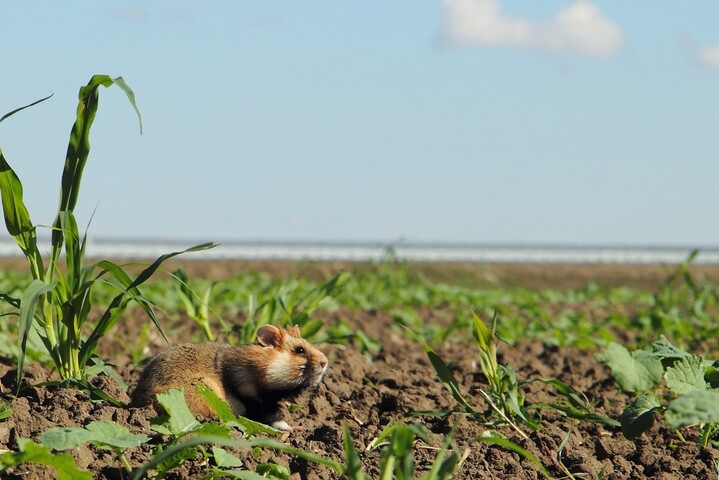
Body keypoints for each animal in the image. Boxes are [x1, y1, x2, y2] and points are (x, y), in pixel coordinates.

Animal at [129, 324, 328, 431]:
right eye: (299, 350)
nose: (326, 362)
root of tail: (135, 403)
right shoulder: (256, 399)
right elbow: (277, 419)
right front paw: (297, 428)